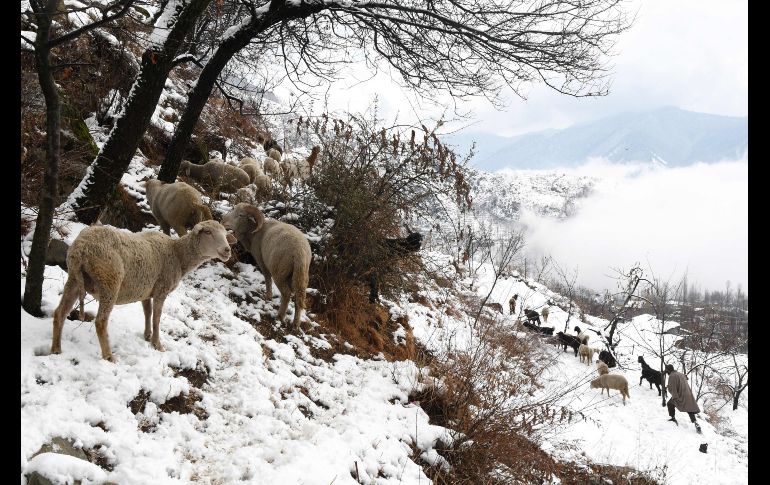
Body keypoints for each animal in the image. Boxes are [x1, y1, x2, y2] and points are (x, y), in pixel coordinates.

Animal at [50, 220, 234, 361]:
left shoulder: (146, 289)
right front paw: (157, 344)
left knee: (60, 313)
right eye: (208, 232)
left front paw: (147, 336)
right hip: (110, 280)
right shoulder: (161, 289)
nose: (227, 250)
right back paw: (109, 356)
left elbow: (147, 312)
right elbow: (157, 318)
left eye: (225, 234)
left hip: (75, 278)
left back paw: (56, 349)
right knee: (100, 321)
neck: (177, 254)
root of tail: (81, 248)